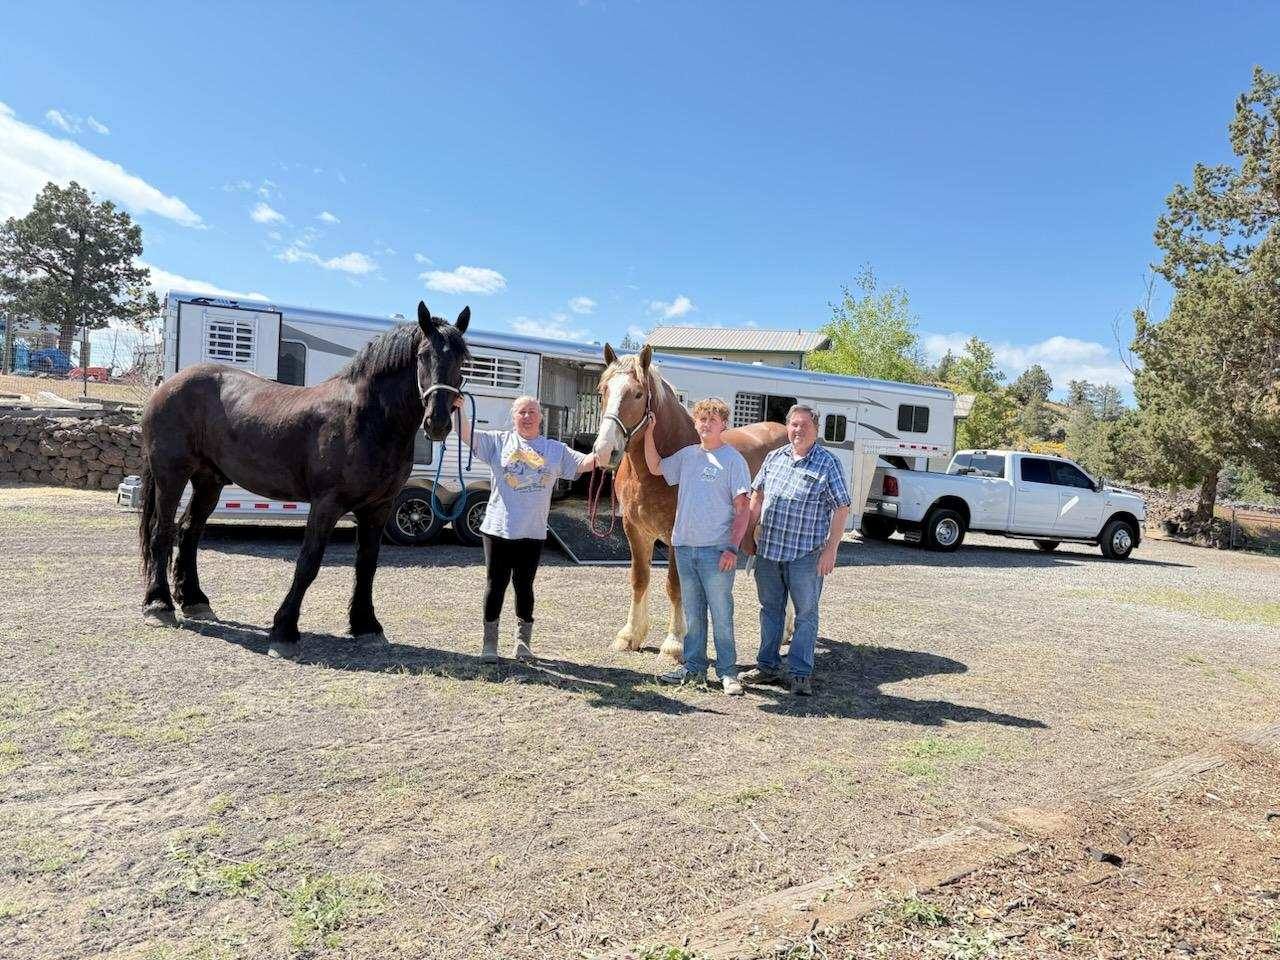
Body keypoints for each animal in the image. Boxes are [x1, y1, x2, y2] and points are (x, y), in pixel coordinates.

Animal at [138, 301, 471, 660]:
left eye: (463, 358)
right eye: (423, 355)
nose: (437, 422)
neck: (366, 418)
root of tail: (167, 385)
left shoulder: (378, 508)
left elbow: (367, 564)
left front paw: (366, 626)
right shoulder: (327, 504)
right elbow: (309, 562)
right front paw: (284, 631)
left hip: (208, 481)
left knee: (189, 532)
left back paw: (195, 601)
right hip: (171, 474)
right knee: (162, 532)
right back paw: (159, 605)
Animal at [590, 344, 789, 658]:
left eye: (638, 394)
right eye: (603, 390)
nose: (604, 450)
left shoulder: (677, 535)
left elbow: (675, 586)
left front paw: (675, 644)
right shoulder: (636, 531)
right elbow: (639, 580)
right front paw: (630, 635)